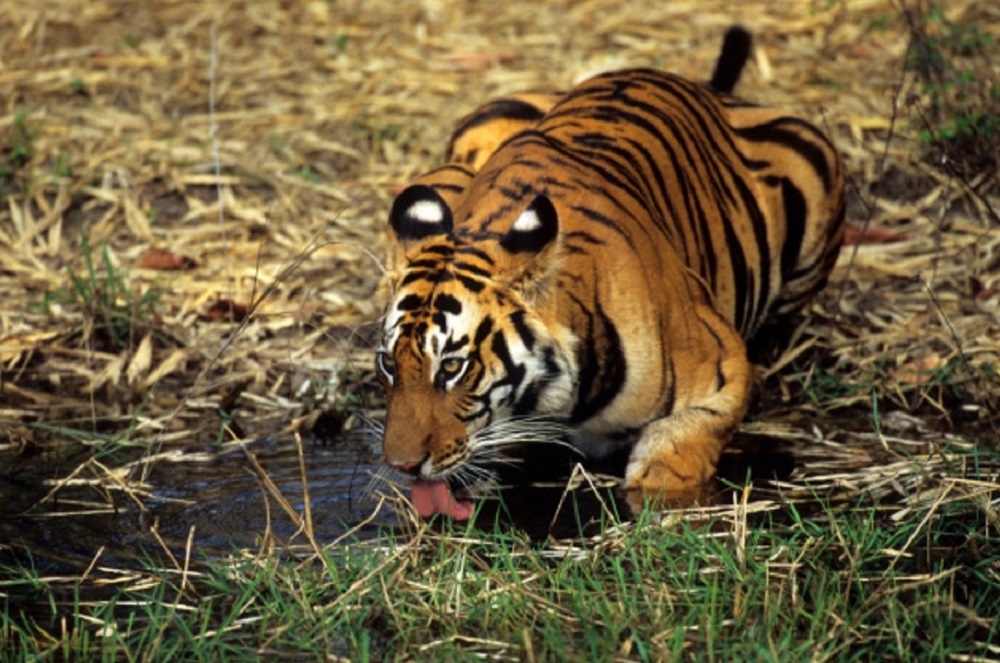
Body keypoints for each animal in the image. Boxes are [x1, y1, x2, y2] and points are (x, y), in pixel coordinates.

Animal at [376, 26, 845, 519]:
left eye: (452, 367)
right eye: (389, 363)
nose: (402, 465)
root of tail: (704, 87)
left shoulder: (723, 368)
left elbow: (681, 449)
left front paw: (660, 501)